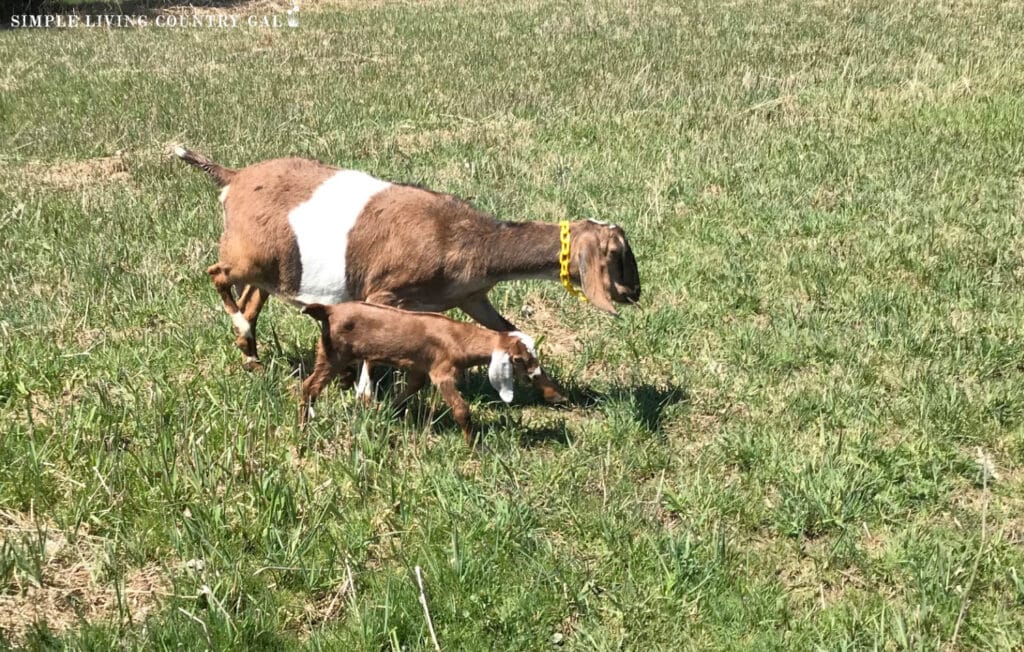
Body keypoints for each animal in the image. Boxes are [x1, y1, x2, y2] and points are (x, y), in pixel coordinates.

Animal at [175, 146, 638, 399]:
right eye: (618, 255)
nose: (634, 292)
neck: (473, 241)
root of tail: (234, 178)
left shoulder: (473, 297)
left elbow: (512, 331)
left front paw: (556, 394)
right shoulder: (385, 293)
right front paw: (365, 396)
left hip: (275, 264)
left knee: (252, 298)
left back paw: (251, 355)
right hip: (245, 253)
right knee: (217, 273)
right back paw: (241, 329)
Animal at [299, 300, 548, 448]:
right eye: (520, 360)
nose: (536, 375)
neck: (458, 338)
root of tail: (328, 310)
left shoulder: (421, 368)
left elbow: (412, 388)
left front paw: (389, 411)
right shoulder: (441, 370)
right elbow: (461, 409)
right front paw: (473, 445)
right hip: (335, 354)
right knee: (309, 386)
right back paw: (303, 427)